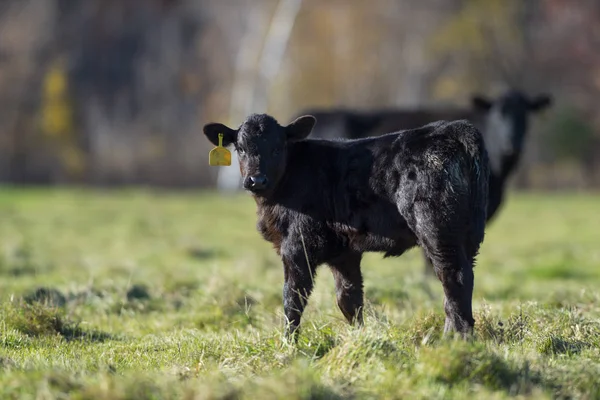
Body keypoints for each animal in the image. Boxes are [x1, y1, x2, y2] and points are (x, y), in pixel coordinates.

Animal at [204, 112, 490, 340]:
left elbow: (292, 298)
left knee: (454, 278)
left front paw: (288, 345)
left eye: (277, 148)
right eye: (241, 148)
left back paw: (457, 338)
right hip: (468, 236)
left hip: (437, 231)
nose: (256, 180)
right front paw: (359, 339)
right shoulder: (343, 252)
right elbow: (349, 299)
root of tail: (451, 128)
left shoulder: (297, 246)